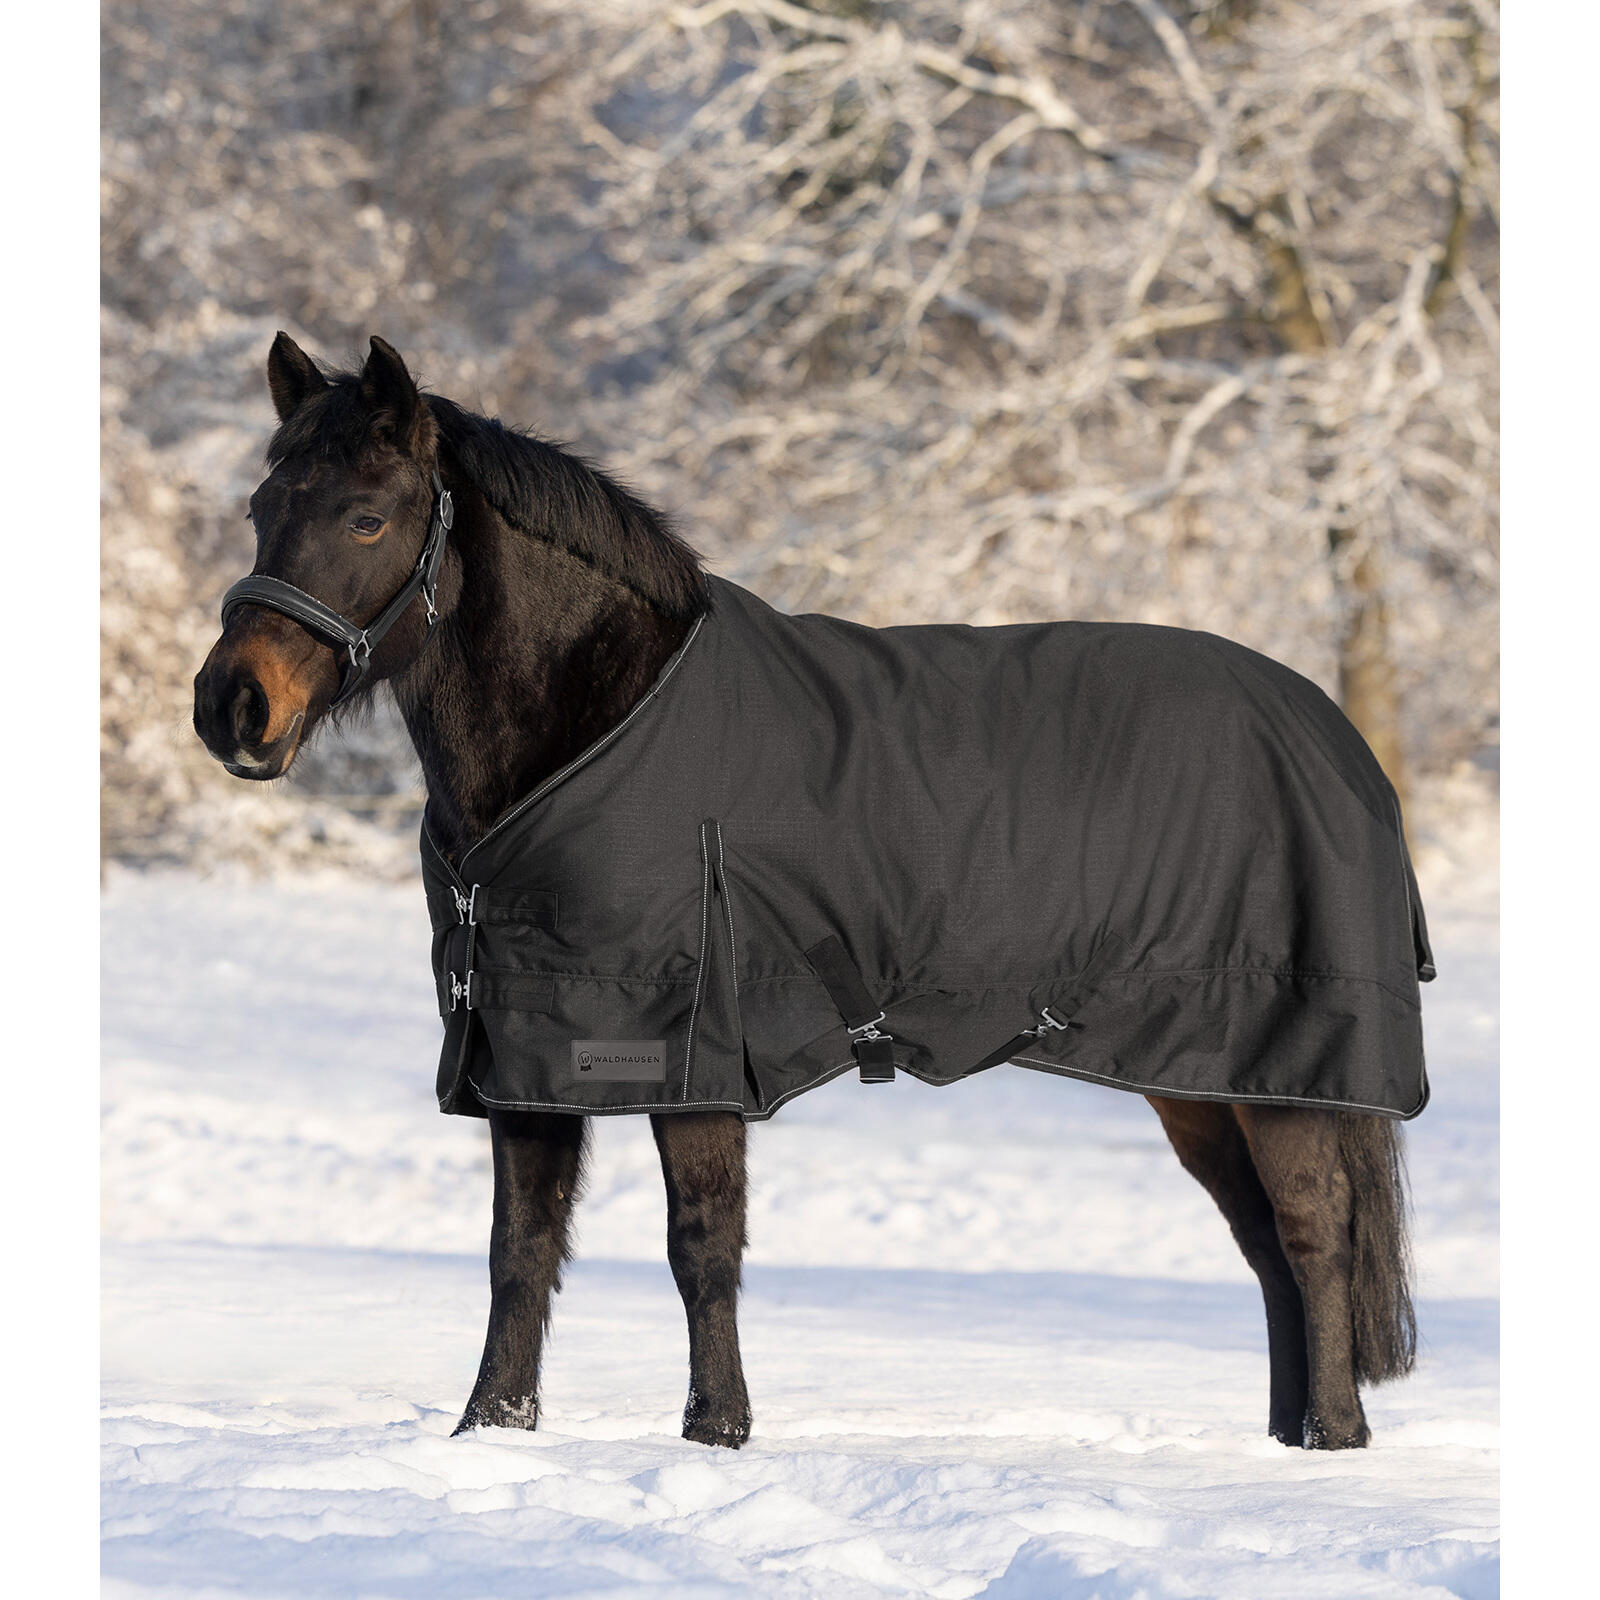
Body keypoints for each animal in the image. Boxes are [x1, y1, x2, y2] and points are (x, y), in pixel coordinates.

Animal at [193, 332, 1419, 1452]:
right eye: (261, 507)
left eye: (366, 518)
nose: (232, 708)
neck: (600, 726)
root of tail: (1335, 737)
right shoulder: (526, 1047)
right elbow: (520, 1253)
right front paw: (491, 1431)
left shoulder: (685, 1047)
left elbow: (701, 1246)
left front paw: (717, 1431)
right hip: (1200, 1078)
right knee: (1264, 1244)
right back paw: (1293, 1439)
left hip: (1277, 1068)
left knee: (1312, 1232)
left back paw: (1331, 1440)